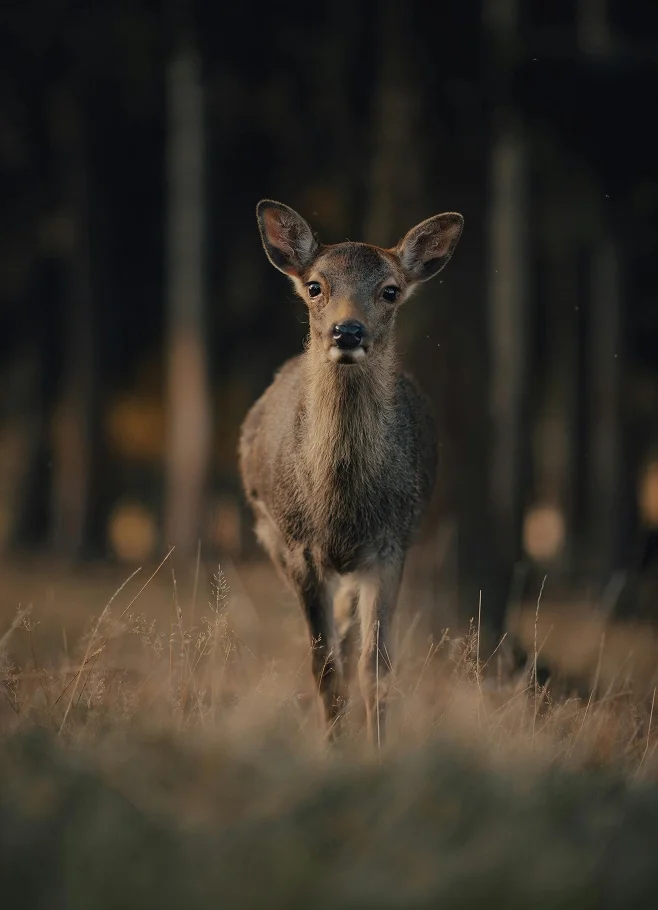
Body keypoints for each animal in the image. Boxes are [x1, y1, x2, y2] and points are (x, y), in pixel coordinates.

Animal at [239, 199, 464, 745]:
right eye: (315, 286)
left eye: (390, 290)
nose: (348, 331)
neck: (340, 508)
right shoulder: (298, 547)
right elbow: (323, 665)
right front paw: (334, 747)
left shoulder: (391, 544)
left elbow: (375, 667)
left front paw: (376, 748)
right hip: (270, 536)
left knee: (347, 629)